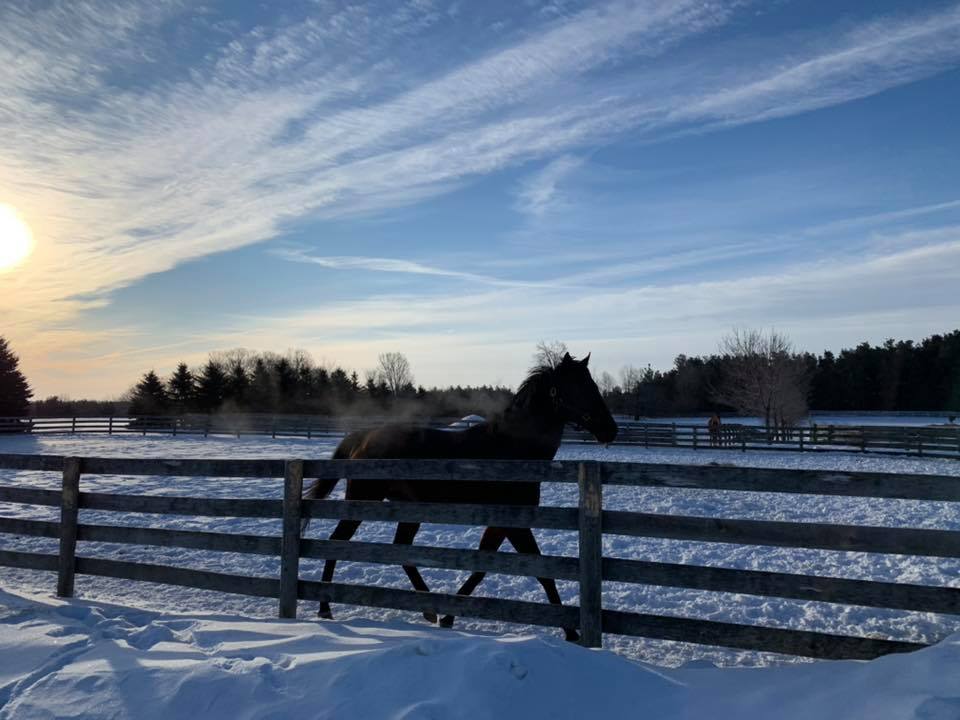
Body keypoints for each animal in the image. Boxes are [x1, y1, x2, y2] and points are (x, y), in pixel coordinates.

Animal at [304, 352, 620, 640]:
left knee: (401, 549)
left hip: (409, 510)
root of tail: (362, 438)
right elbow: (538, 572)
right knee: (337, 542)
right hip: (363, 501)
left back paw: (429, 609)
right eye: (577, 387)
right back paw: (325, 607)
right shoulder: (512, 523)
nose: (611, 429)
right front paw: (571, 633)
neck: (512, 449)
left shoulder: (505, 523)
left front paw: (448, 616)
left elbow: (488, 566)